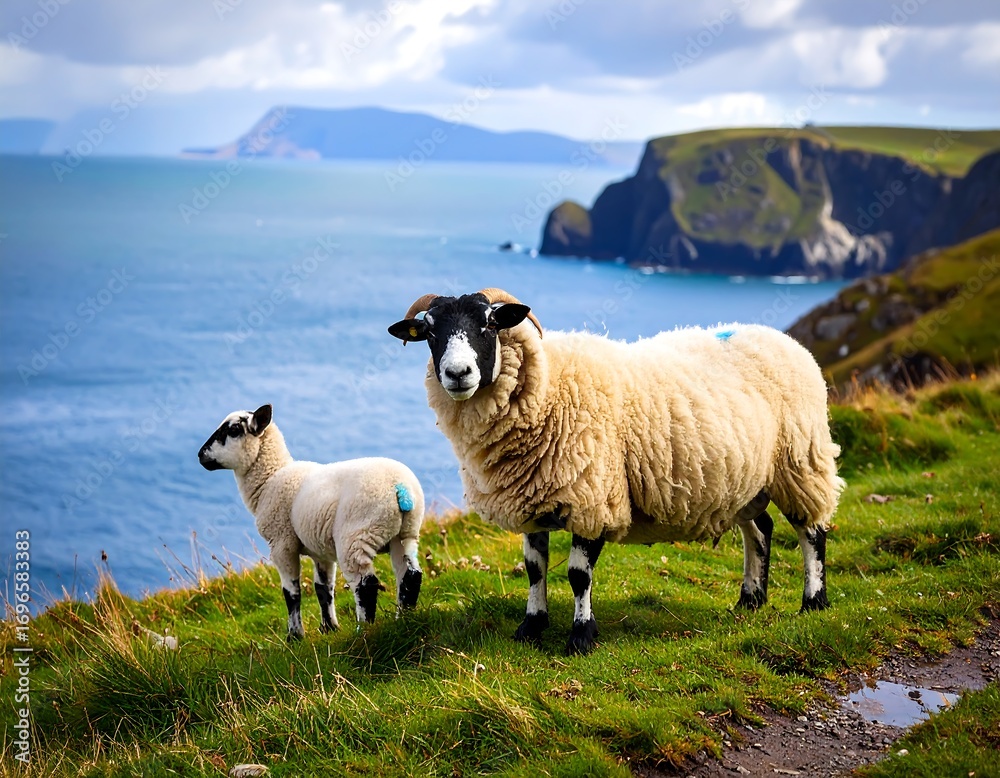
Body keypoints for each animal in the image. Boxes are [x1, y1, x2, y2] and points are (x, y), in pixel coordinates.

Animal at [198, 404, 424, 639]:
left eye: (233, 430)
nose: (200, 455)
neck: (269, 479)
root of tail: (401, 488)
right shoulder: (320, 550)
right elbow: (323, 588)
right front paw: (329, 628)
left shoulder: (282, 543)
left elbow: (291, 593)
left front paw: (295, 636)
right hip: (405, 533)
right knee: (410, 575)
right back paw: (403, 620)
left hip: (356, 534)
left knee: (366, 584)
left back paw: (363, 631)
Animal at [388, 288, 844, 655]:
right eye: (430, 332)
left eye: (488, 324)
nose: (458, 374)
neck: (550, 385)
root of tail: (783, 339)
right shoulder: (532, 500)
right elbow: (535, 568)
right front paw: (531, 627)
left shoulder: (594, 497)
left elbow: (577, 575)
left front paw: (581, 637)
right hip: (743, 480)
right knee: (760, 530)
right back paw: (750, 599)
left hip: (800, 461)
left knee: (811, 532)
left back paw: (812, 601)